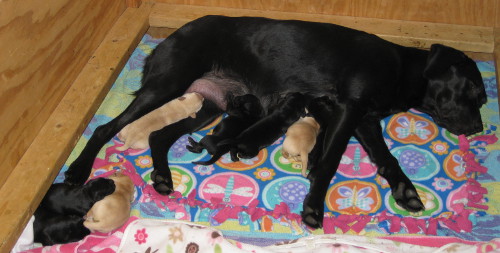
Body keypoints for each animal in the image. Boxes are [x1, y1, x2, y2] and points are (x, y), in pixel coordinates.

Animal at [64, 16, 486, 229]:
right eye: (476, 93)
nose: (480, 129)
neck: (402, 69)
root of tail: (170, 36)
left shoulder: (366, 121)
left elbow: (388, 159)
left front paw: (406, 190)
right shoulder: (350, 109)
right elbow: (330, 162)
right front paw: (313, 207)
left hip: (209, 105)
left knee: (159, 136)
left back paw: (164, 177)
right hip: (168, 85)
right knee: (104, 128)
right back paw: (79, 170)